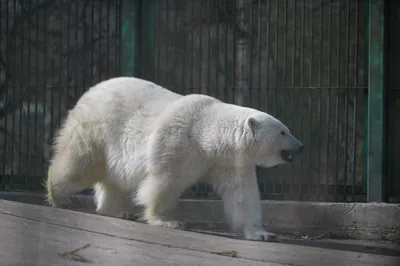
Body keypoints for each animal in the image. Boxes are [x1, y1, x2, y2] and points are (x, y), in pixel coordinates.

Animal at [45, 76, 304, 241]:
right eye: (284, 132)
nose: (301, 146)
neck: (208, 134)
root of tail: (90, 91)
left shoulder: (230, 162)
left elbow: (242, 196)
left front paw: (262, 233)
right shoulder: (178, 141)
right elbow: (165, 181)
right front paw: (166, 221)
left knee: (115, 180)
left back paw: (117, 211)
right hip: (97, 129)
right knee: (80, 162)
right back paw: (59, 195)